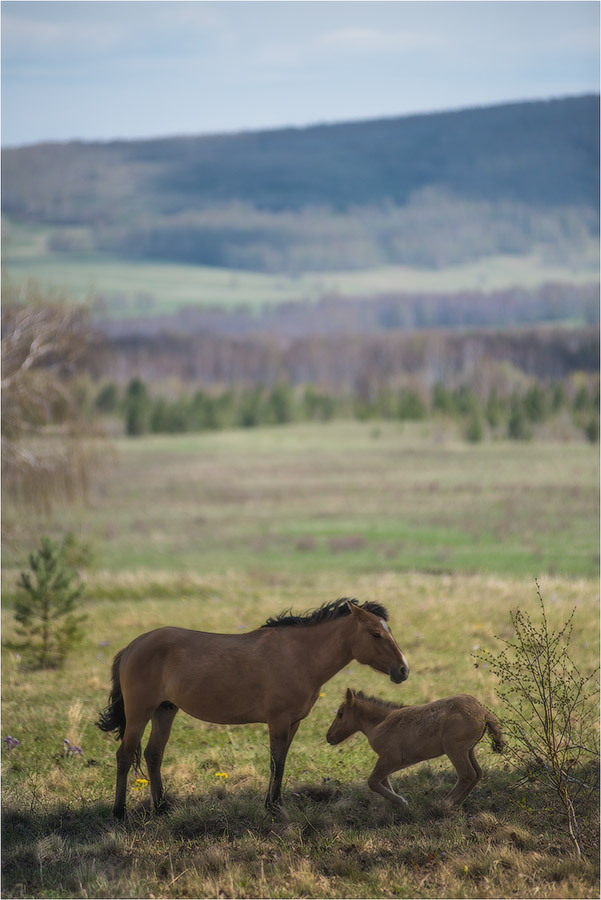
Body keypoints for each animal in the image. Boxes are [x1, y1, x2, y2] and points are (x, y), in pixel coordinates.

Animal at [98, 596, 408, 816]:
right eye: (375, 634)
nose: (403, 670)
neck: (299, 655)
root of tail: (132, 646)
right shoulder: (278, 720)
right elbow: (276, 762)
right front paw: (273, 807)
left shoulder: (293, 722)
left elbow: (281, 761)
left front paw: (274, 803)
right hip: (139, 714)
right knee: (124, 755)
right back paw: (119, 811)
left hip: (164, 711)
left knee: (153, 755)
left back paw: (162, 807)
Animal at [326, 688, 504, 808]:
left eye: (340, 713)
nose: (329, 737)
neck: (379, 723)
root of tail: (483, 711)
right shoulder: (399, 762)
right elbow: (383, 780)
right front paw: (397, 803)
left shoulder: (390, 759)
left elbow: (373, 781)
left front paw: (402, 802)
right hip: (469, 750)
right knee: (477, 773)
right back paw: (456, 803)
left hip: (454, 749)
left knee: (467, 774)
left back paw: (444, 803)